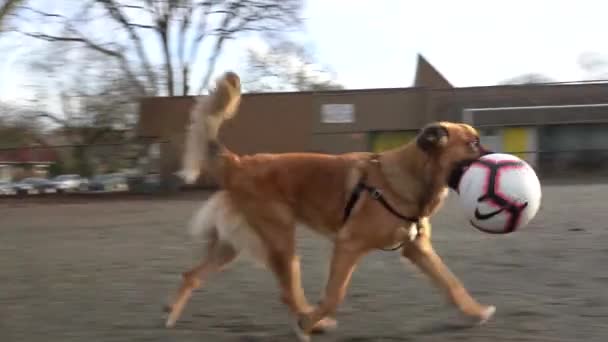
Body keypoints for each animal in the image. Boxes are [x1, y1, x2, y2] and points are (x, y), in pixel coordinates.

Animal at [164, 71, 496, 340]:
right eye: (473, 144)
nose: (497, 156)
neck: (406, 177)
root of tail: (239, 164)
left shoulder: (418, 249)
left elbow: (451, 283)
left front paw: (475, 312)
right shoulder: (348, 245)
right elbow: (334, 295)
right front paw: (310, 321)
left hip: (233, 244)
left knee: (192, 275)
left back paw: (171, 316)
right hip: (281, 241)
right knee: (288, 291)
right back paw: (310, 323)